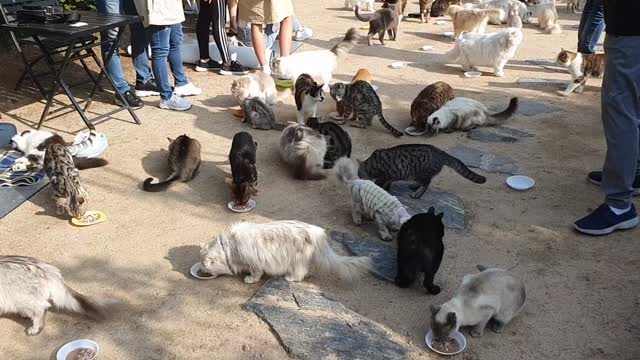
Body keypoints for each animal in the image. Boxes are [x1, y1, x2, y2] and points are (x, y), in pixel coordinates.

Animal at [200, 219, 370, 284]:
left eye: (205, 269)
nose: (202, 272)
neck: (228, 248)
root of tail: (318, 234)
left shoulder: (254, 263)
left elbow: (256, 274)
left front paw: (249, 279)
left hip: (297, 260)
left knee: (300, 273)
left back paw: (289, 278)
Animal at [358, 144, 488, 200]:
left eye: (359, 174)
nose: (358, 177)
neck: (372, 164)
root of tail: (440, 153)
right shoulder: (390, 176)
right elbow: (388, 183)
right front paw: (386, 188)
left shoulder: (383, 176)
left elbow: (380, 184)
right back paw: (415, 186)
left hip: (420, 173)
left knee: (426, 183)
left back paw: (417, 193)